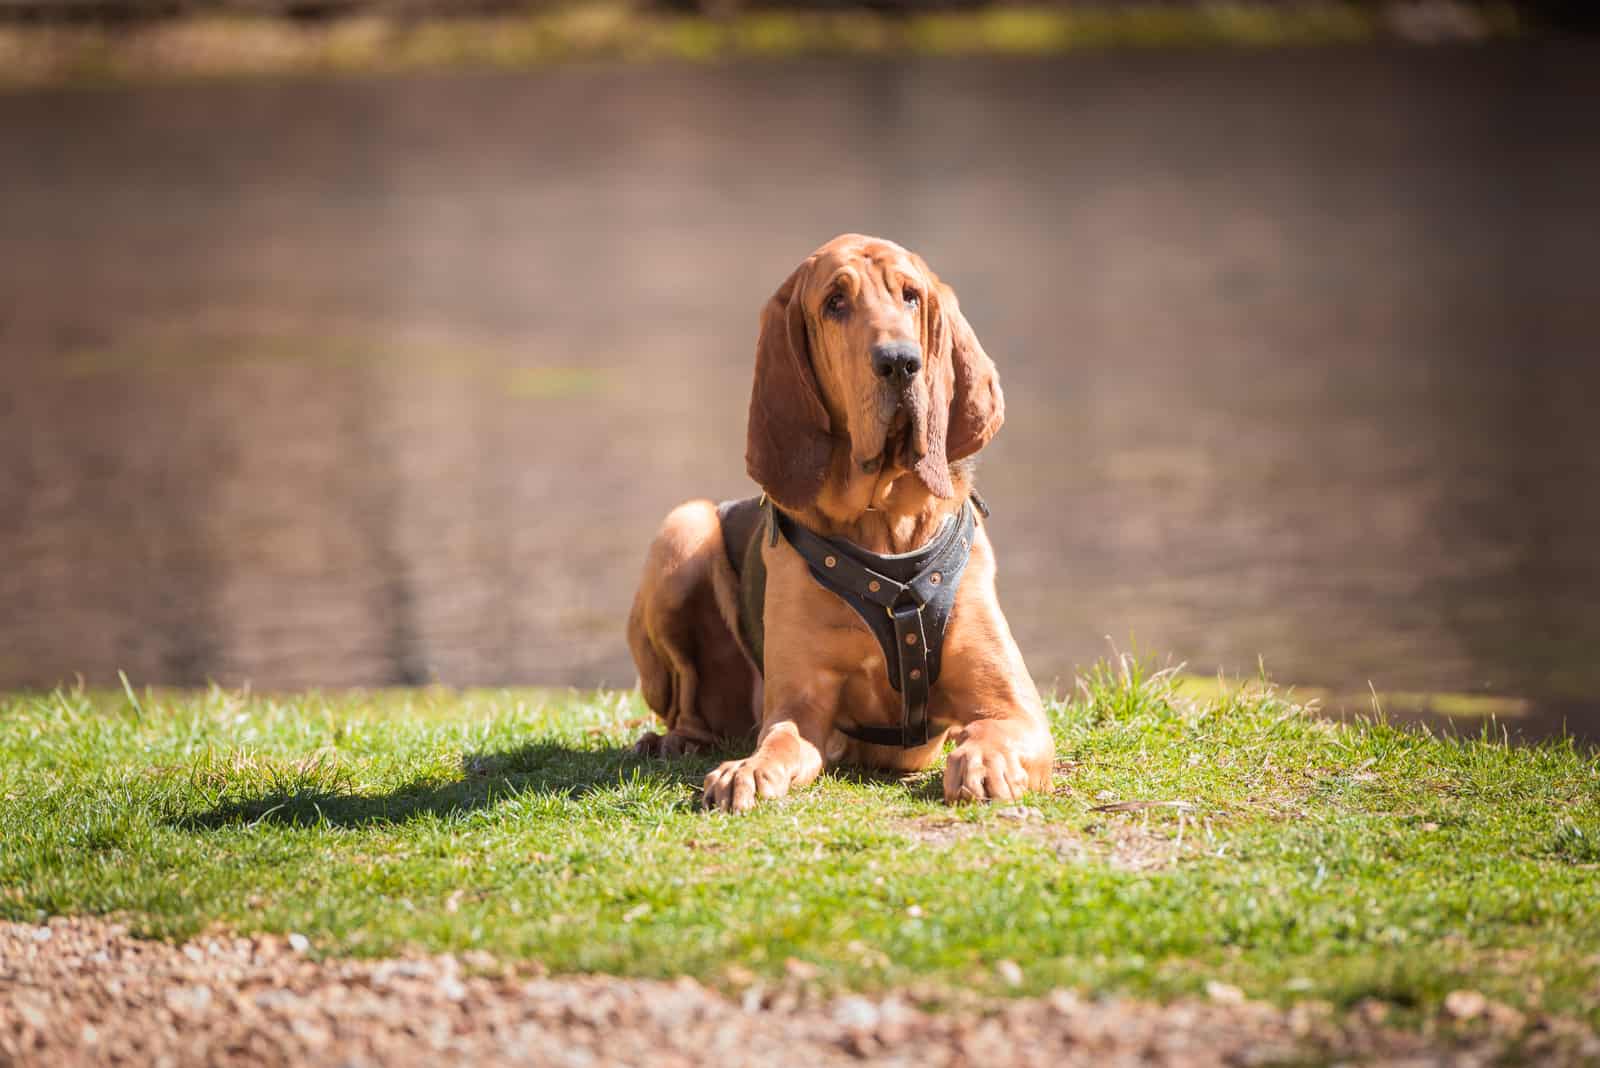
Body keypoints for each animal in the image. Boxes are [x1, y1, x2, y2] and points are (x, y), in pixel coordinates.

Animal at [630, 230, 1056, 805]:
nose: (900, 362)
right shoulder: (799, 704)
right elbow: (778, 740)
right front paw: (747, 771)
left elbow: (991, 734)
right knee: (687, 700)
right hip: (682, 528)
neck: (884, 526)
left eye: (911, 296)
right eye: (835, 302)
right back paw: (676, 741)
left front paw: (985, 762)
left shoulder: (1015, 707)